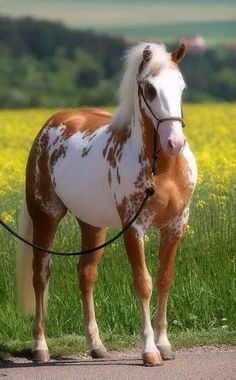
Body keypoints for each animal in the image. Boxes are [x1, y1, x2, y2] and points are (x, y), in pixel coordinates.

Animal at [16, 41, 197, 366]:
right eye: (149, 89)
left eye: (181, 86)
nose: (175, 143)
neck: (162, 169)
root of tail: (51, 123)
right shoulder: (133, 227)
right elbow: (144, 283)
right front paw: (149, 351)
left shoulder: (176, 224)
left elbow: (164, 279)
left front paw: (165, 345)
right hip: (45, 215)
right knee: (41, 274)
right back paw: (40, 347)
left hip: (93, 224)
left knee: (86, 274)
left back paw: (96, 345)